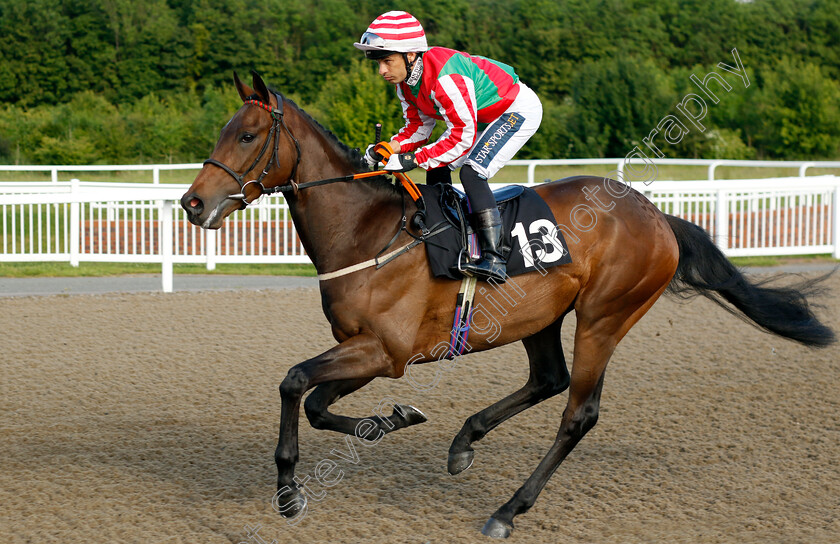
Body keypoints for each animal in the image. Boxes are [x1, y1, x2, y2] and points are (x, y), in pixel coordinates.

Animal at [179, 73, 832, 540]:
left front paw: (289, 491)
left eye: (246, 135)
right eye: (222, 132)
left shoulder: (385, 351)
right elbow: (316, 403)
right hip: (541, 315)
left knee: (578, 412)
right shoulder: (364, 349)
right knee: (548, 378)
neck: (368, 233)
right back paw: (464, 442)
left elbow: (294, 383)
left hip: (604, 317)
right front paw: (392, 420)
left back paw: (507, 510)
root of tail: (657, 216)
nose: (191, 203)